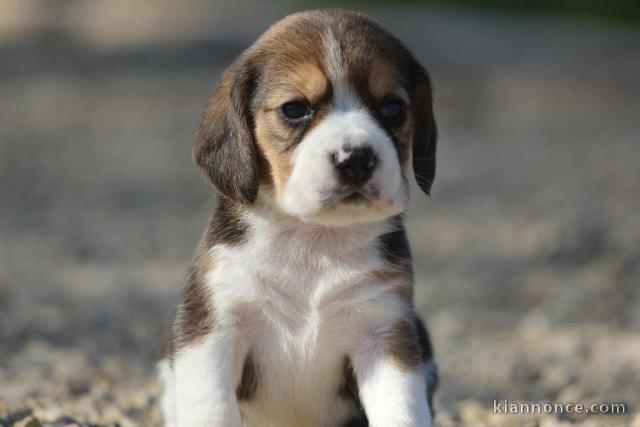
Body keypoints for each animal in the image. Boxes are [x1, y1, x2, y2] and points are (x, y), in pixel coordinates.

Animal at [161, 10, 440, 427]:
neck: (313, 239)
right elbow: (211, 407)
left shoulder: (384, 334)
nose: (357, 159)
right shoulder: (214, 329)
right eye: (295, 109)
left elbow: (402, 411)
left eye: (393, 108)